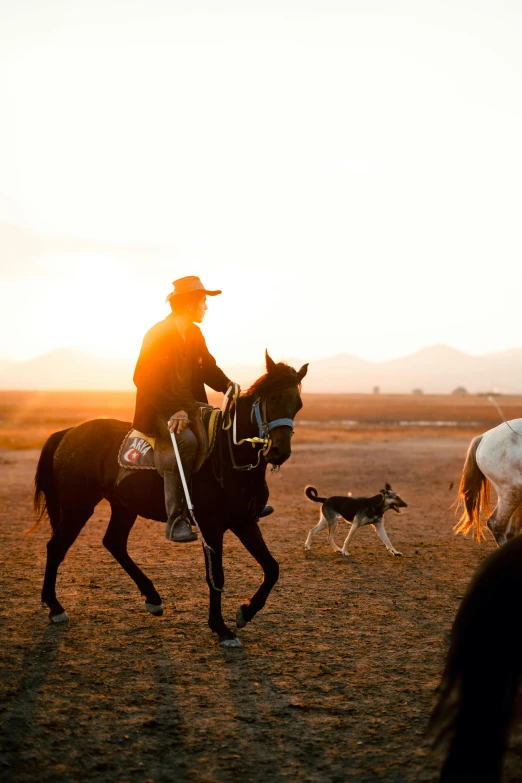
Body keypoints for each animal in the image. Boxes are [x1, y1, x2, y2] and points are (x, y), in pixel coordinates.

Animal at [34, 356, 306, 648]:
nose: (279, 451)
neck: (230, 457)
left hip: (123, 506)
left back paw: (152, 598)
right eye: (274, 397)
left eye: (298, 404)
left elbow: (271, 568)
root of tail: (69, 432)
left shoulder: (244, 522)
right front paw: (222, 629)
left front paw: (245, 612)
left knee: (113, 542)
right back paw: (55, 607)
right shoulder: (211, 527)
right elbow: (217, 576)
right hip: (78, 505)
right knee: (56, 547)